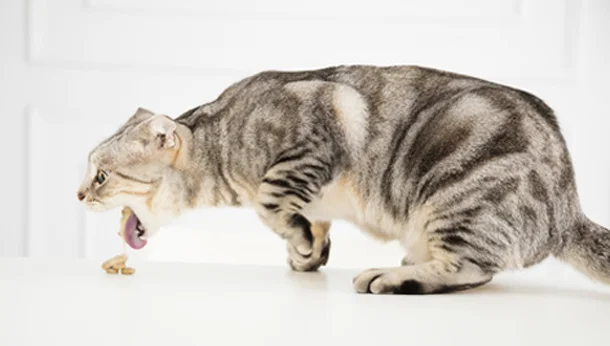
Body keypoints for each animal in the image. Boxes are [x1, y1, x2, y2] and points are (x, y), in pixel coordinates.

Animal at [77, 65, 608, 294]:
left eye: (101, 175)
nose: (78, 193)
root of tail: (566, 211)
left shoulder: (310, 142)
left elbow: (271, 202)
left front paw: (299, 241)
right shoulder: (313, 191)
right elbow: (309, 222)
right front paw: (307, 252)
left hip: (459, 197)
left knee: (471, 269)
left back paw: (391, 276)